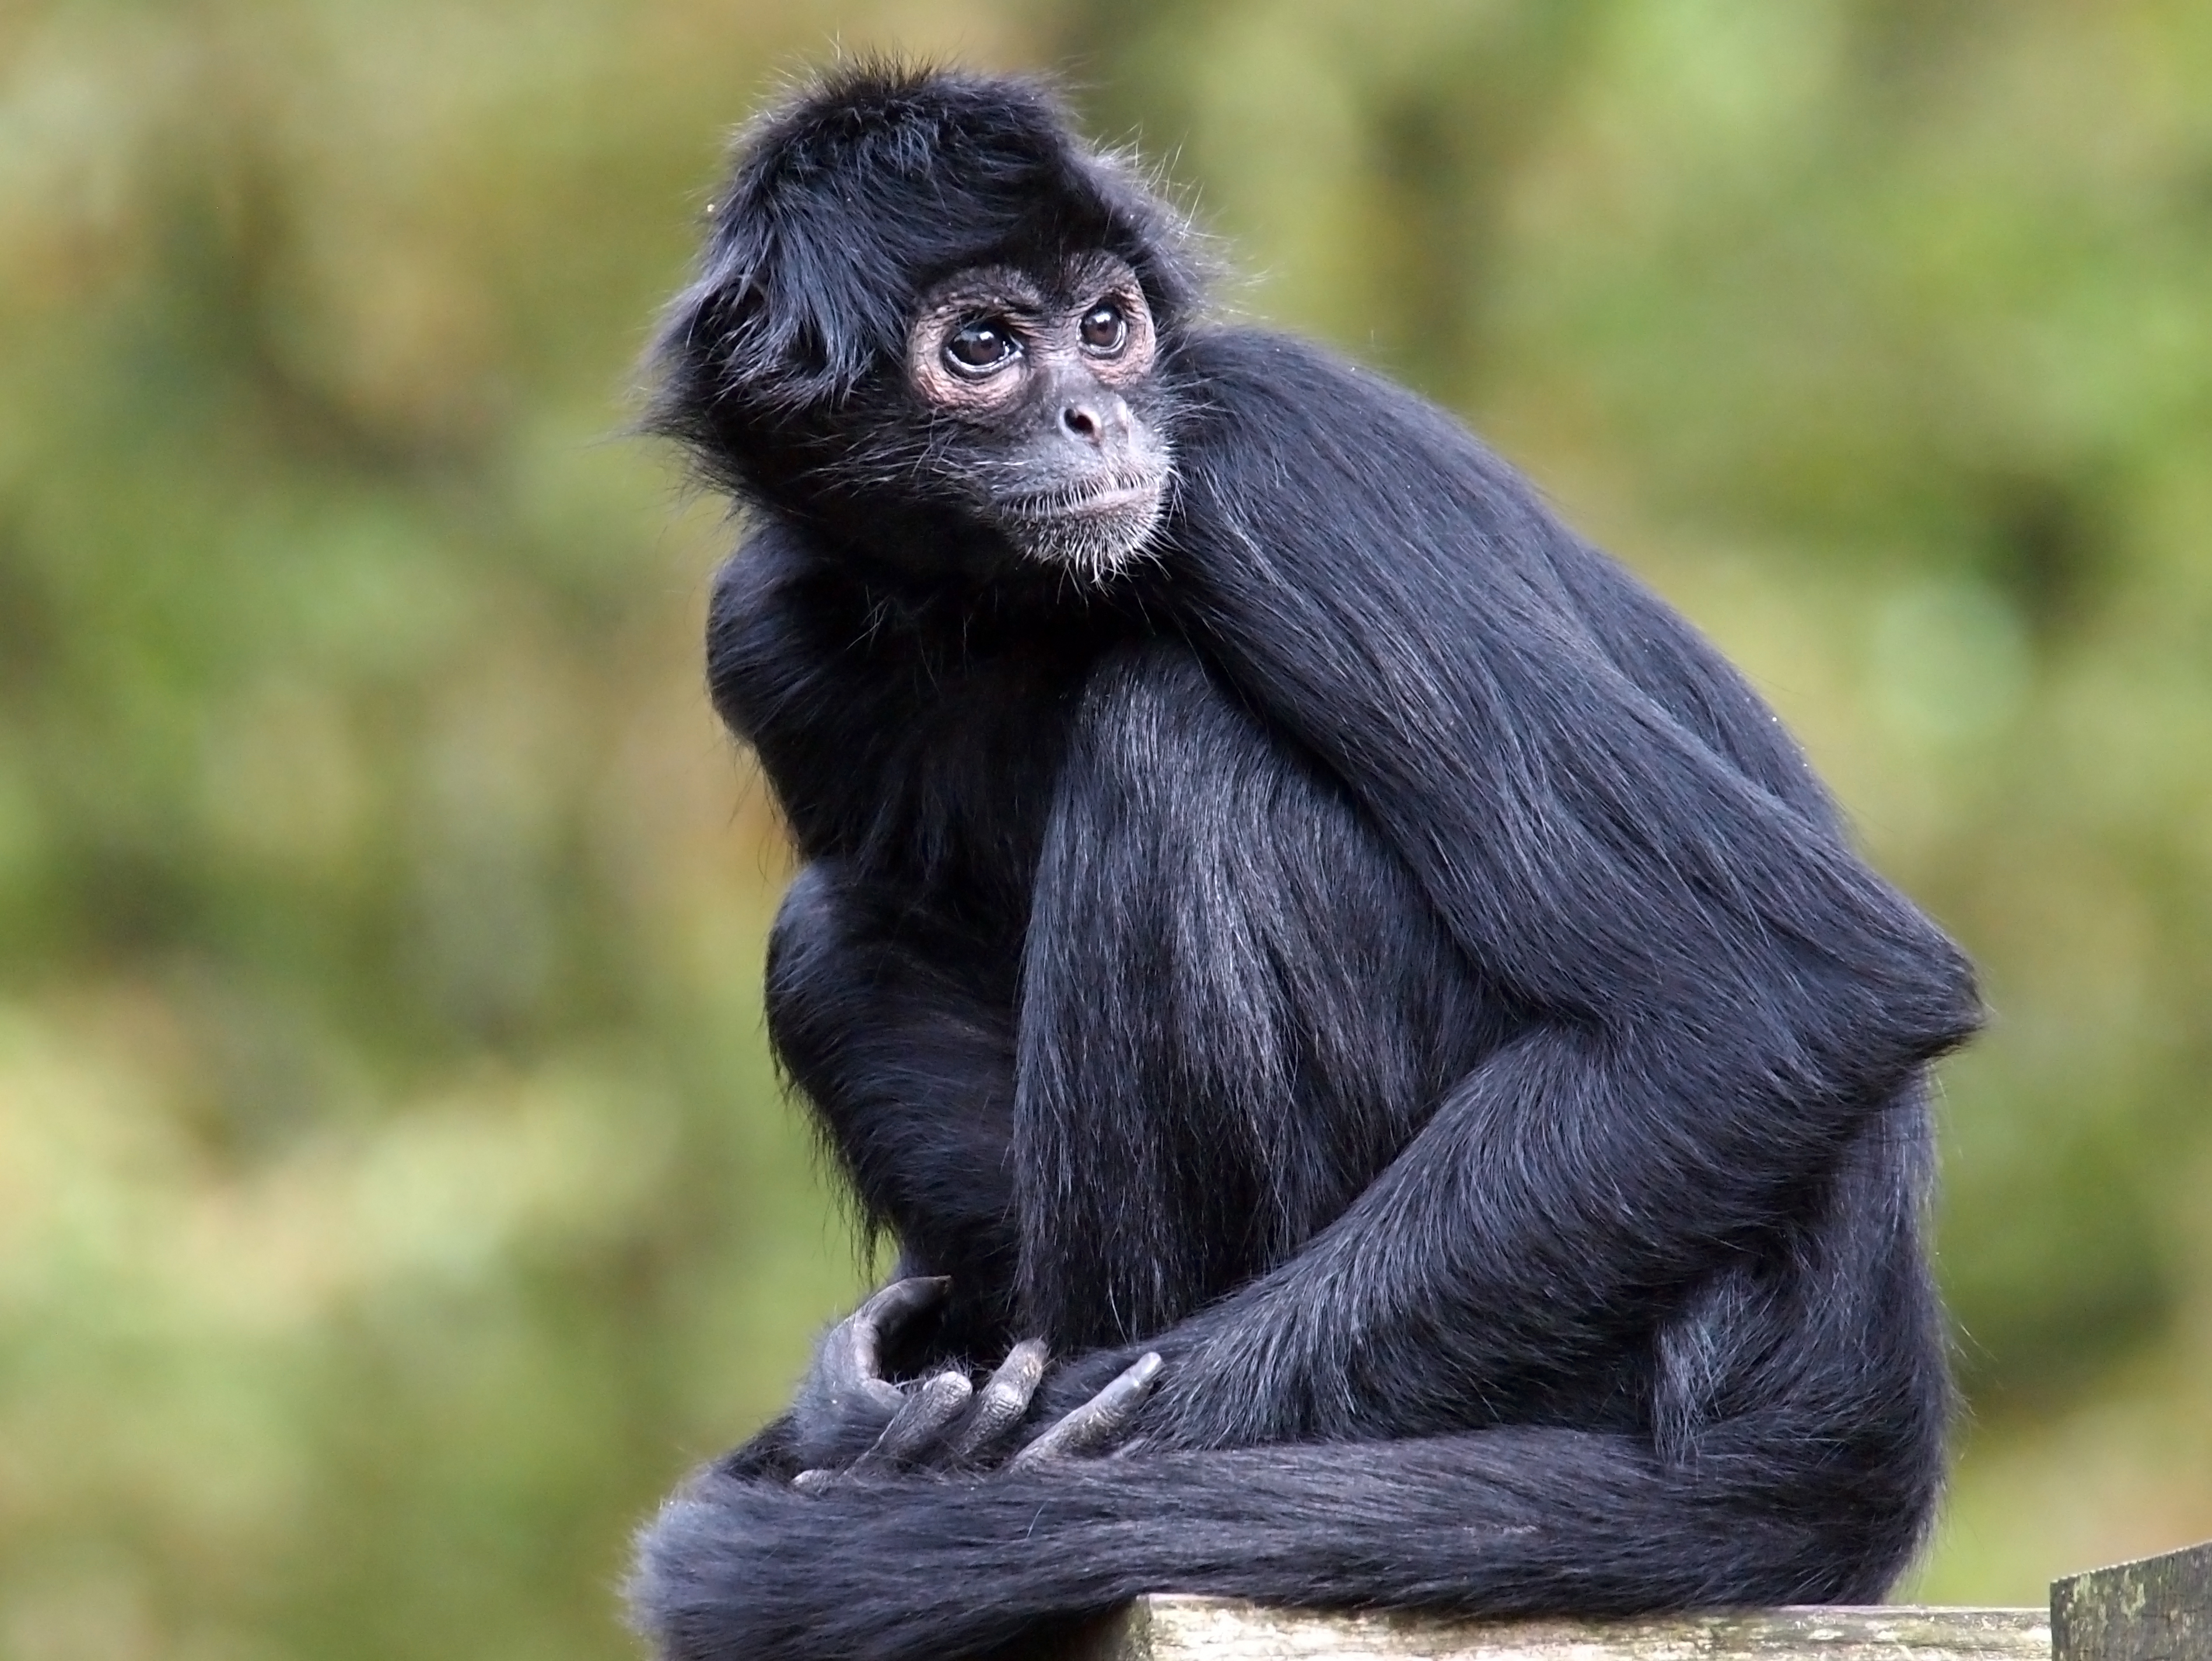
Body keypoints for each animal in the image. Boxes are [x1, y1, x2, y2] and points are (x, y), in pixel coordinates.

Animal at [627, 62, 1980, 1661]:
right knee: (834, 932)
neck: (1006, 605)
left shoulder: (1262, 456)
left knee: (1174, 743)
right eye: (981, 347)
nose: (1094, 415)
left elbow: (1781, 990)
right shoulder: (763, 628)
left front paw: (960, 1442)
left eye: (1105, 327)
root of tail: (1853, 1408)